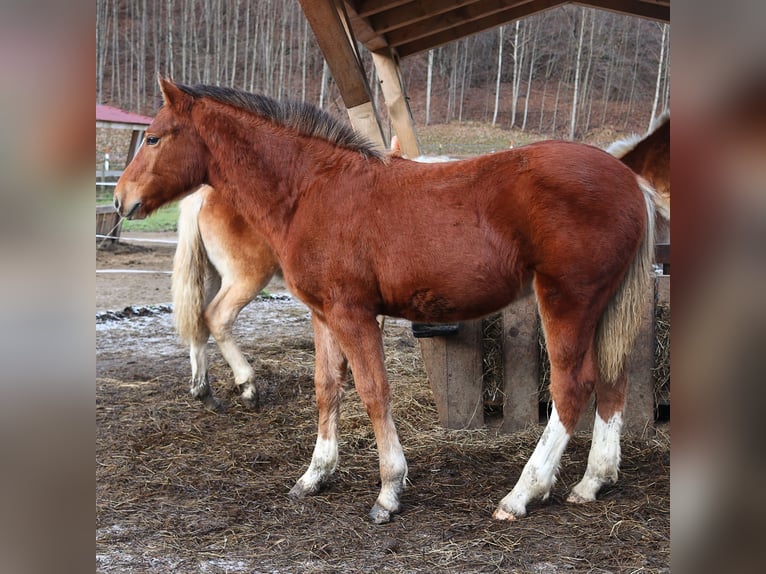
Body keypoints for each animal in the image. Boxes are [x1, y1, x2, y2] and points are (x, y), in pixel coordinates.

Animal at [115, 77, 672, 528]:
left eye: (153, 136)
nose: (121, 199)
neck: (312, 189)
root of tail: (630, 182)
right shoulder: (323, 314)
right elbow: (327, 388)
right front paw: (315, 475)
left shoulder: (353, 313)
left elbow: (373, 392)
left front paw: (388, 492)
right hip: (600, 305)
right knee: (612, 380)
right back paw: (592, 482)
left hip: (565, 299)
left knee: (572, 386)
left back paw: (521, 494)